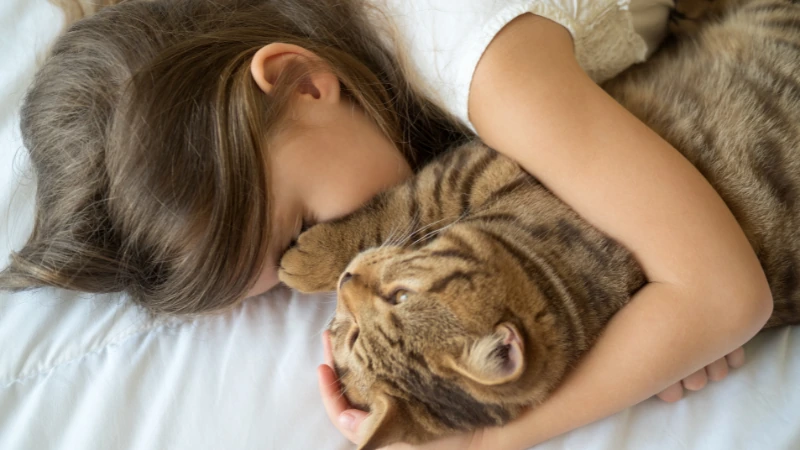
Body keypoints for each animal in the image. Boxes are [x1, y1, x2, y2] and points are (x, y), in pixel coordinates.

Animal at [280, 1, 800, 448]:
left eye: (400, 297)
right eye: (350, 334)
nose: (346, 279)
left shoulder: (476, 165)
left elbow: (407, 203)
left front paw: (312, 257)